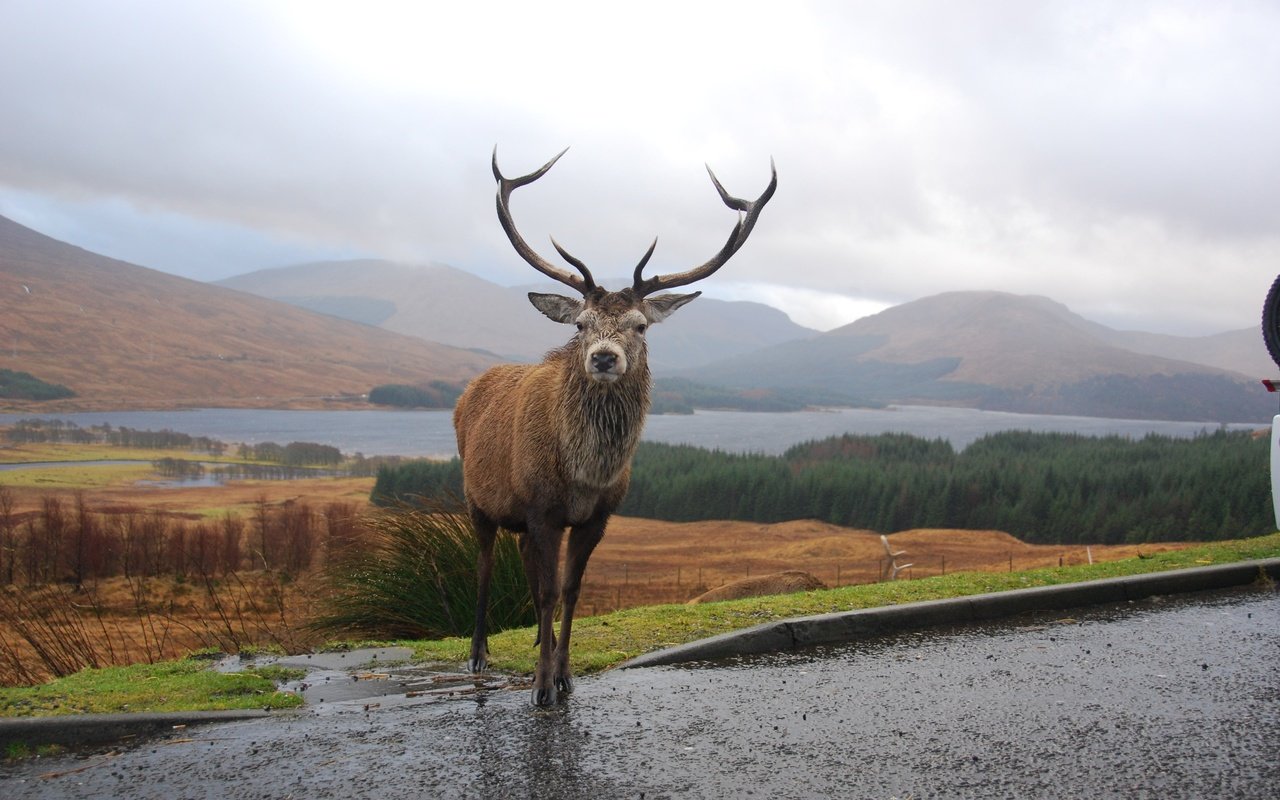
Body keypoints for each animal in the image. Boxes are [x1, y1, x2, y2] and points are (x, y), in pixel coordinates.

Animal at [460, 146, 778, 701]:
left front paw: (563, 674)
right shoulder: (541, 508)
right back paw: (478, 654)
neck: (585, 474)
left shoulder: (598, 516)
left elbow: (570, 590)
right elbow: (548, 591)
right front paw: (541, 687)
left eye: (641, 325)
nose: (604, 357)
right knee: (483, 566)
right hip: (477, 498)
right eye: (581, 323)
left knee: (522, 565)